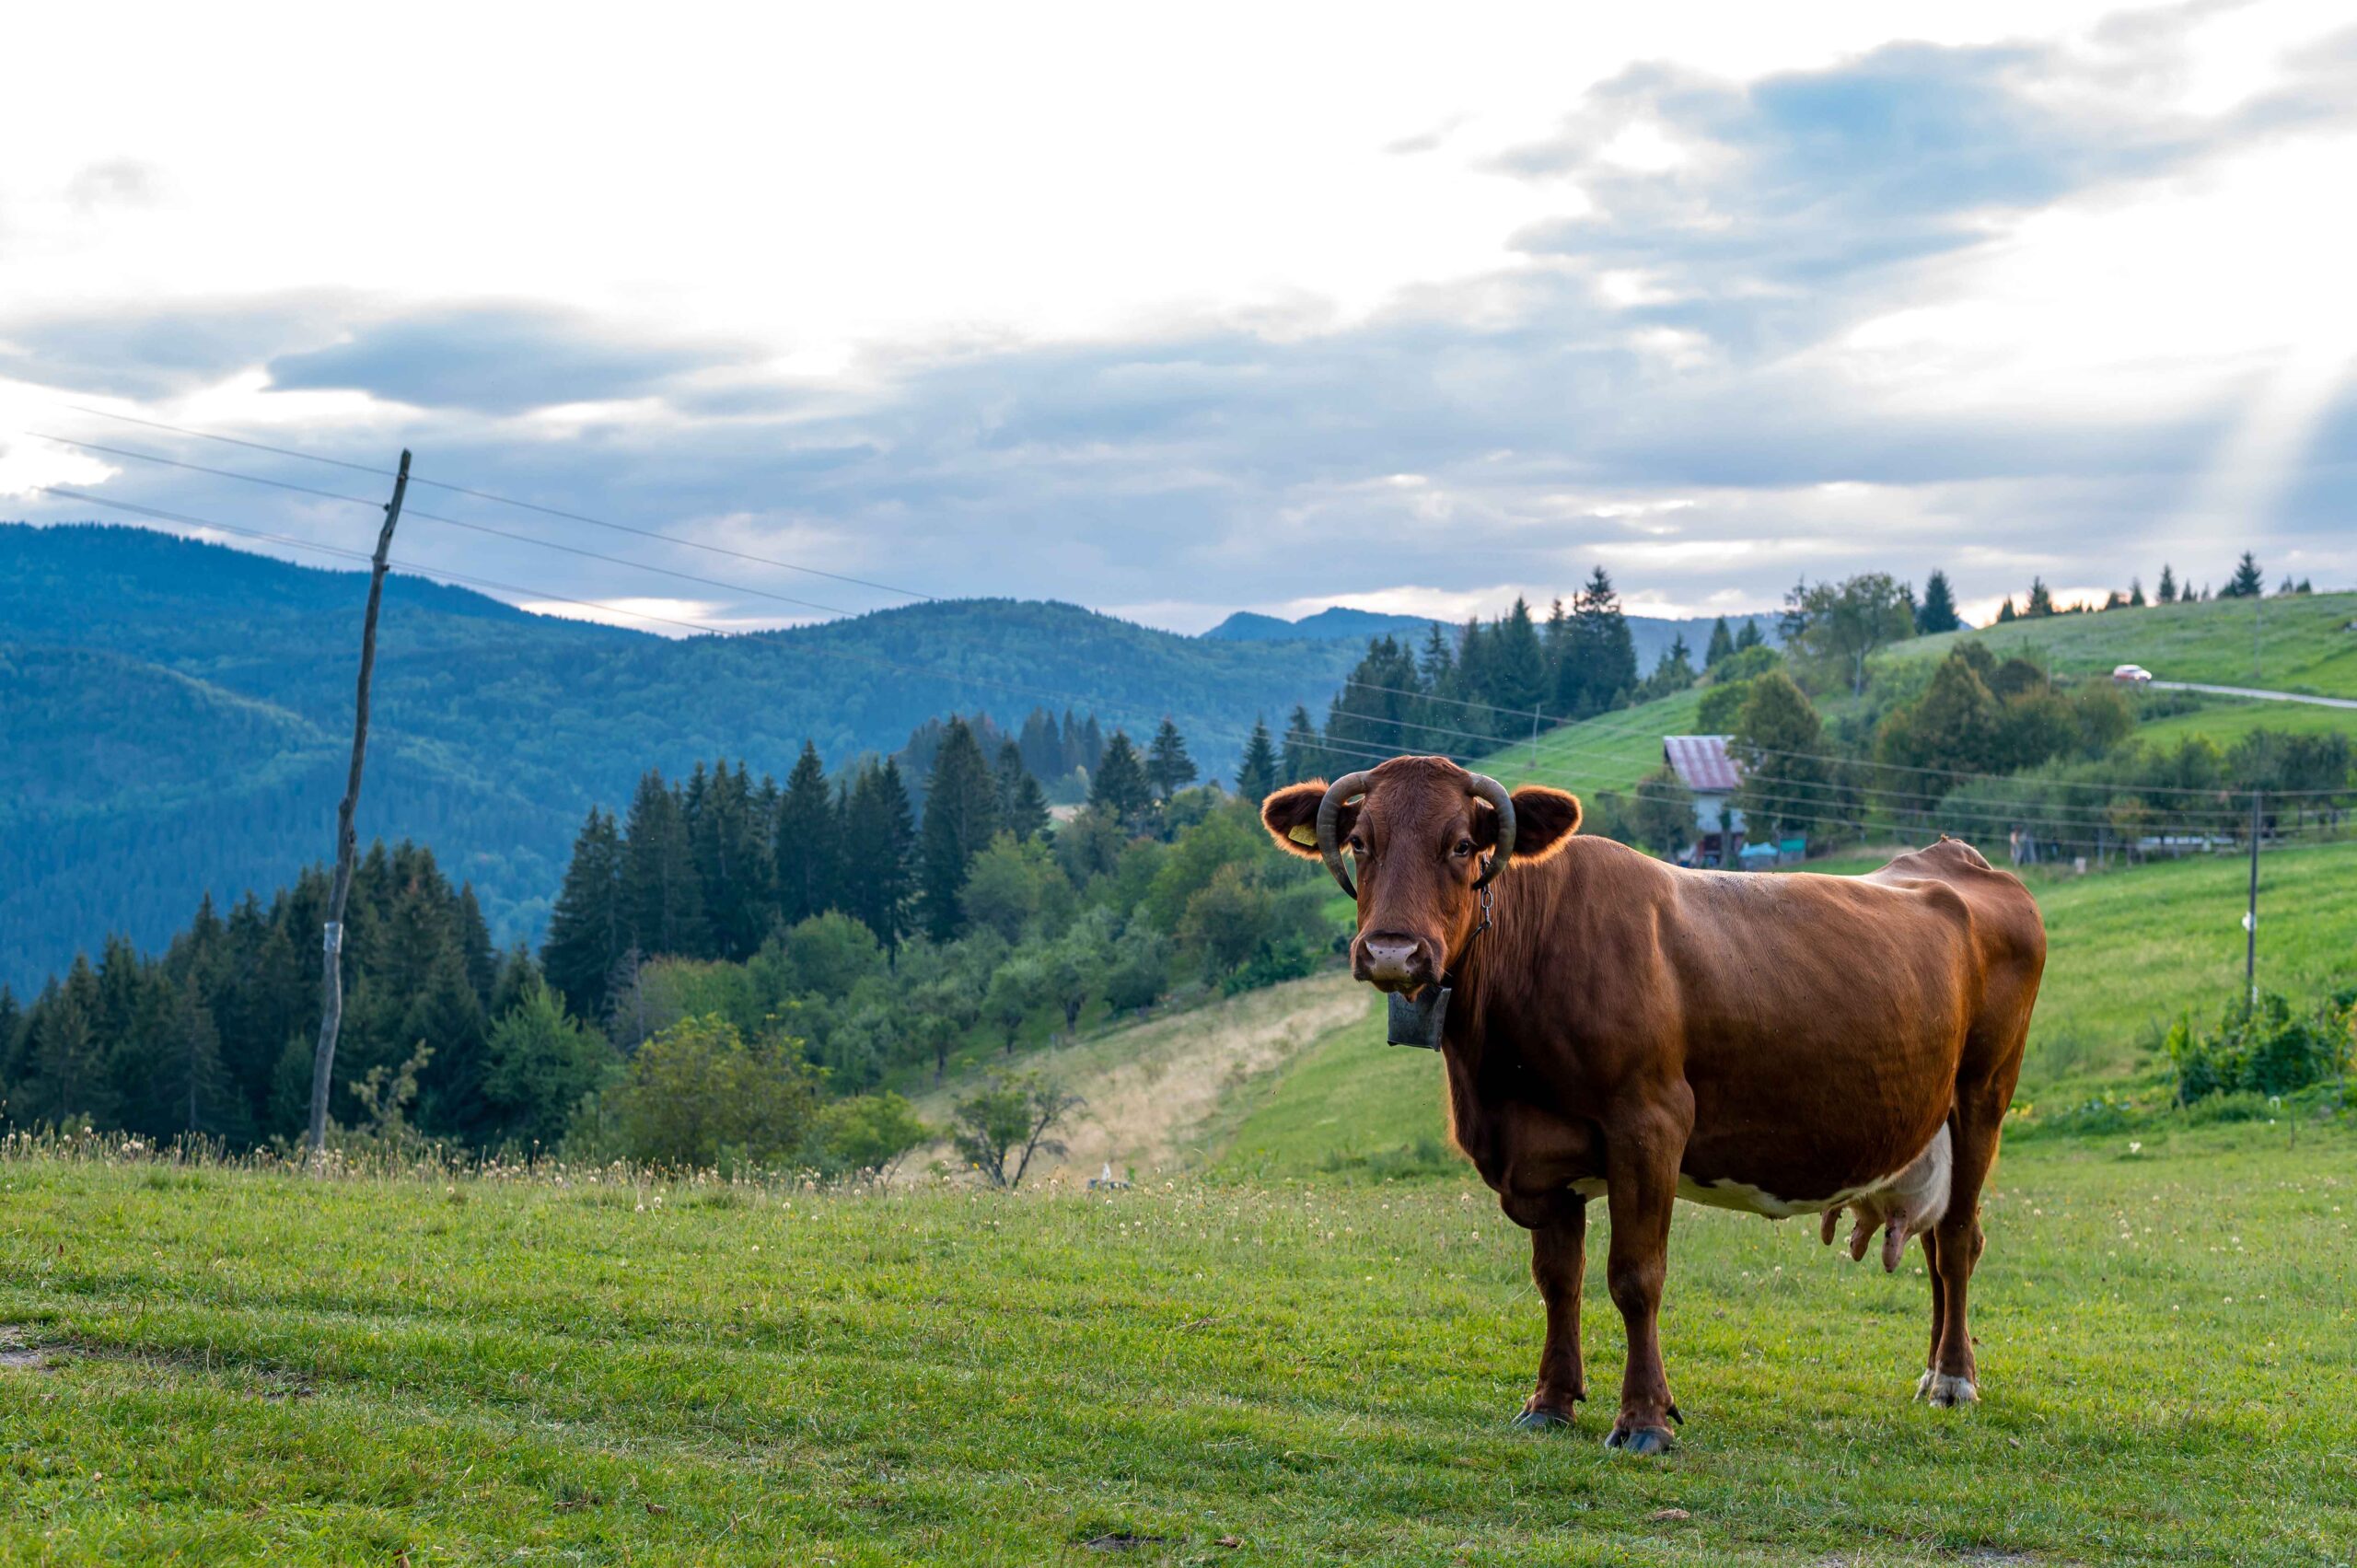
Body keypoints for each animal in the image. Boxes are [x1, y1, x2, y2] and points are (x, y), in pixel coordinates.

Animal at [1263, 754, 2055, 1452]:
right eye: (1361, 842)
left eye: (1461, 844)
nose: (1393, 952)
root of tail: (1957, 857)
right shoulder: (1541, 1156)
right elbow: (1558, 1281)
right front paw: (1550, 1403)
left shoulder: (1649, 1127)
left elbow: (1635, 1277)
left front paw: (1643, 1419)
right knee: (1934, 1245)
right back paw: (1933, 1372)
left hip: (1983, 1093)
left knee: (1958, 1238)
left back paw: (1953, 1379)